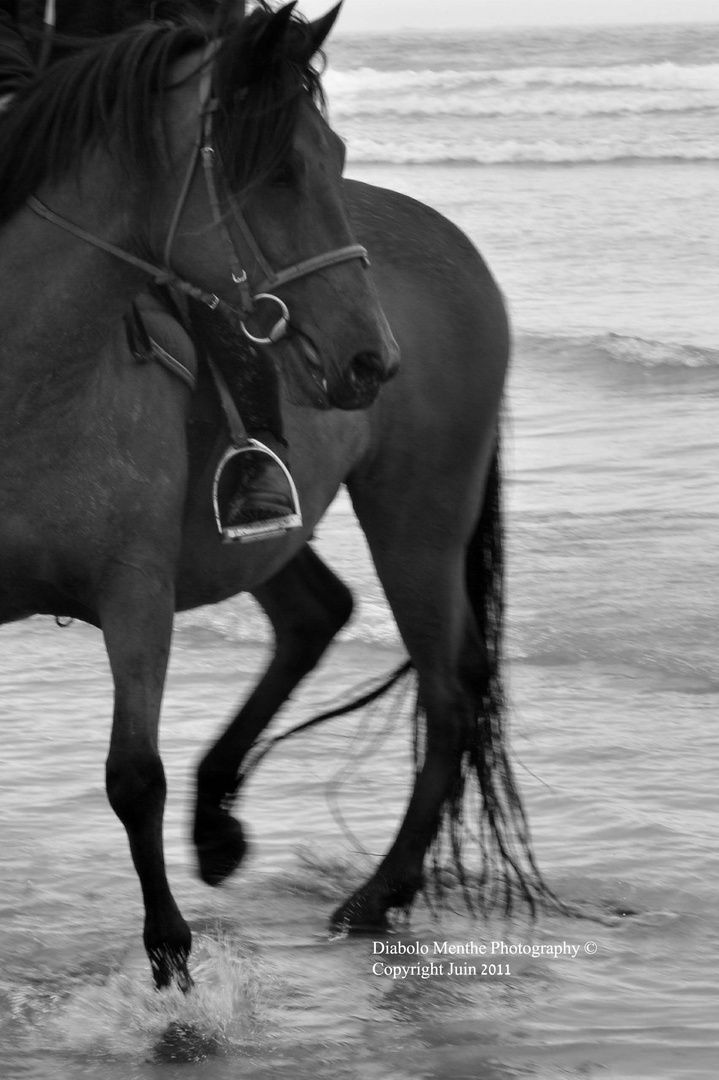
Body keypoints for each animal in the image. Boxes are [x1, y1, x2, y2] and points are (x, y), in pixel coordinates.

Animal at [0, 2, 392, 993]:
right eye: (280, 170)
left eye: (334, 155)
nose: (374, 358)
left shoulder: (136, 588)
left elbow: (135, 777)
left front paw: (174, 967)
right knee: (318, 613)